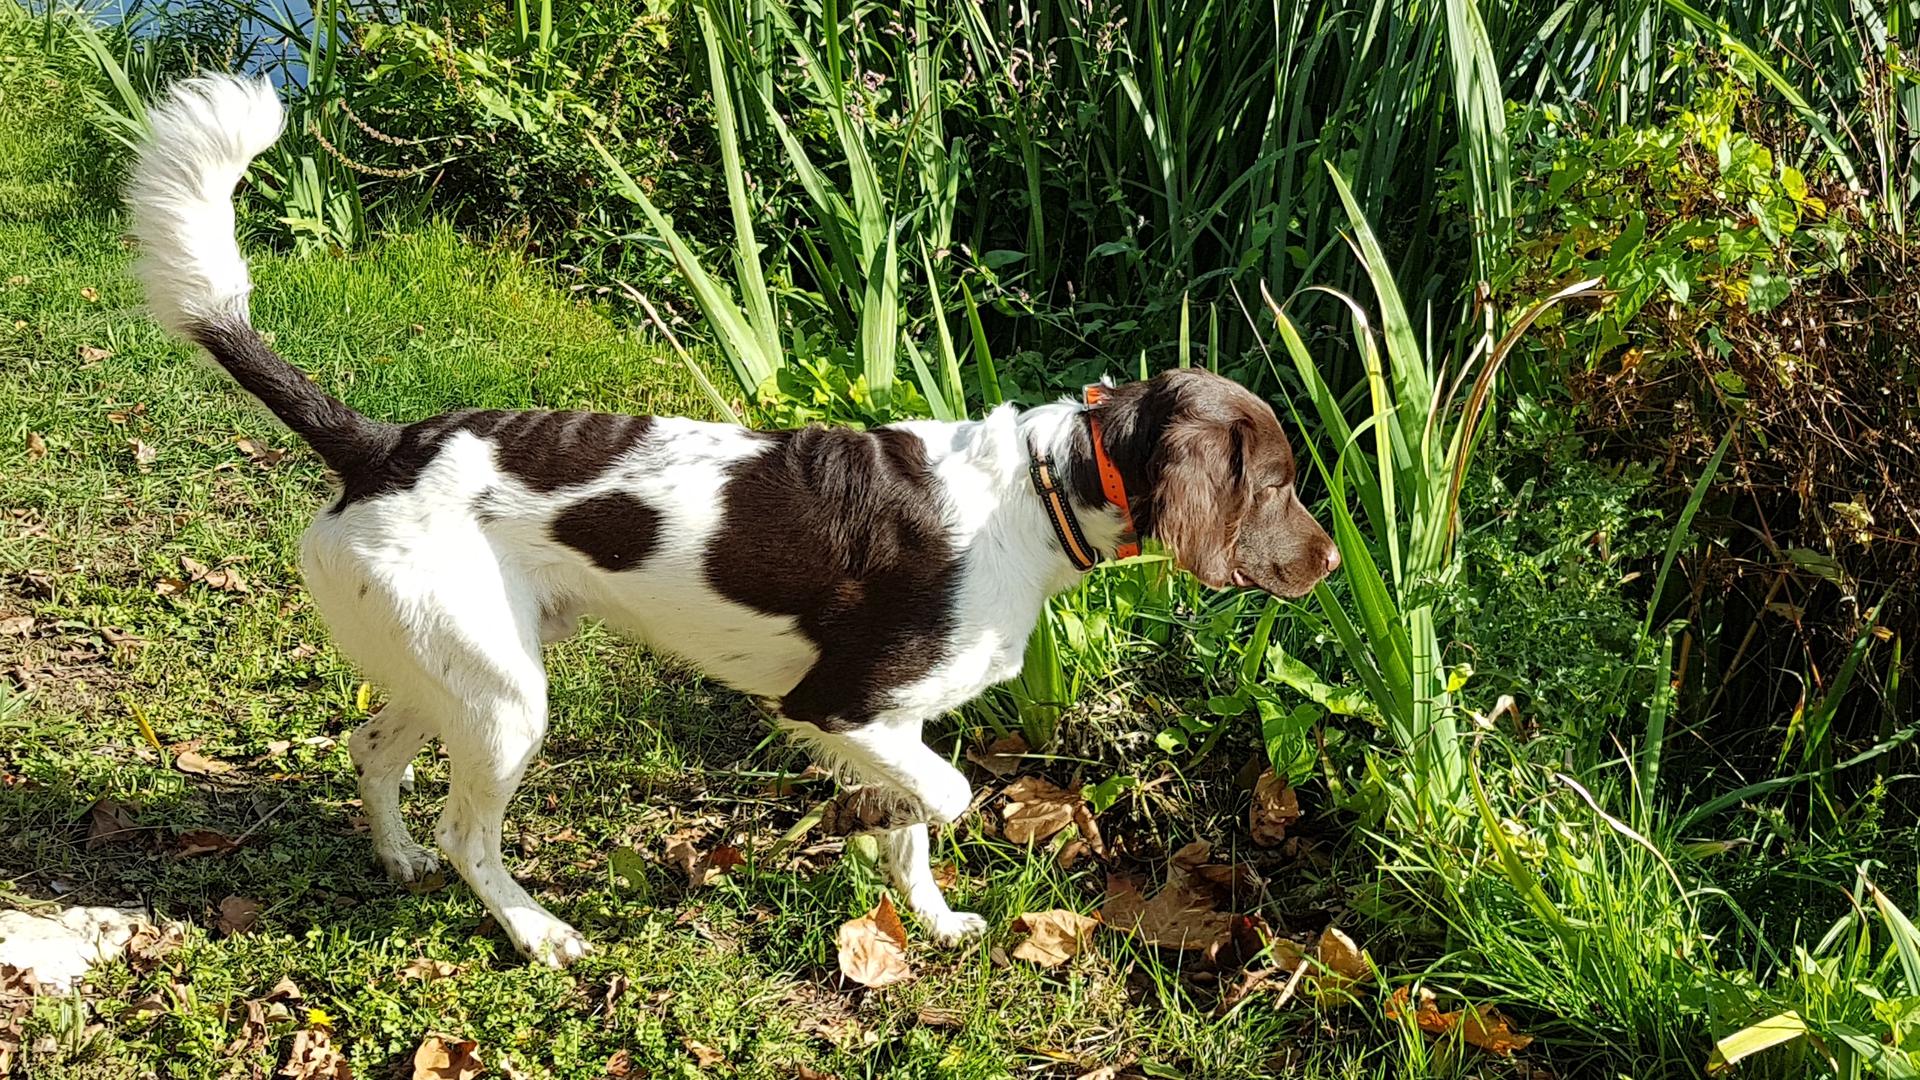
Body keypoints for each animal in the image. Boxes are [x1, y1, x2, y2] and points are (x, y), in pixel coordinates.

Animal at [131, 77, 1336, 968]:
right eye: (1279, 484)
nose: (1331, 562)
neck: (1037, 495)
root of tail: (379, 445)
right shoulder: (840, 704)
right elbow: (943, 799)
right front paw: (859, 831)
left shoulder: (898, 719)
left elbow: (916, 829)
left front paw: (929, 916)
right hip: (507, 701)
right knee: (467, 832)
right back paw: (536, 931)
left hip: (454, 671)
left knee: (371, 748)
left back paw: (394, 860)